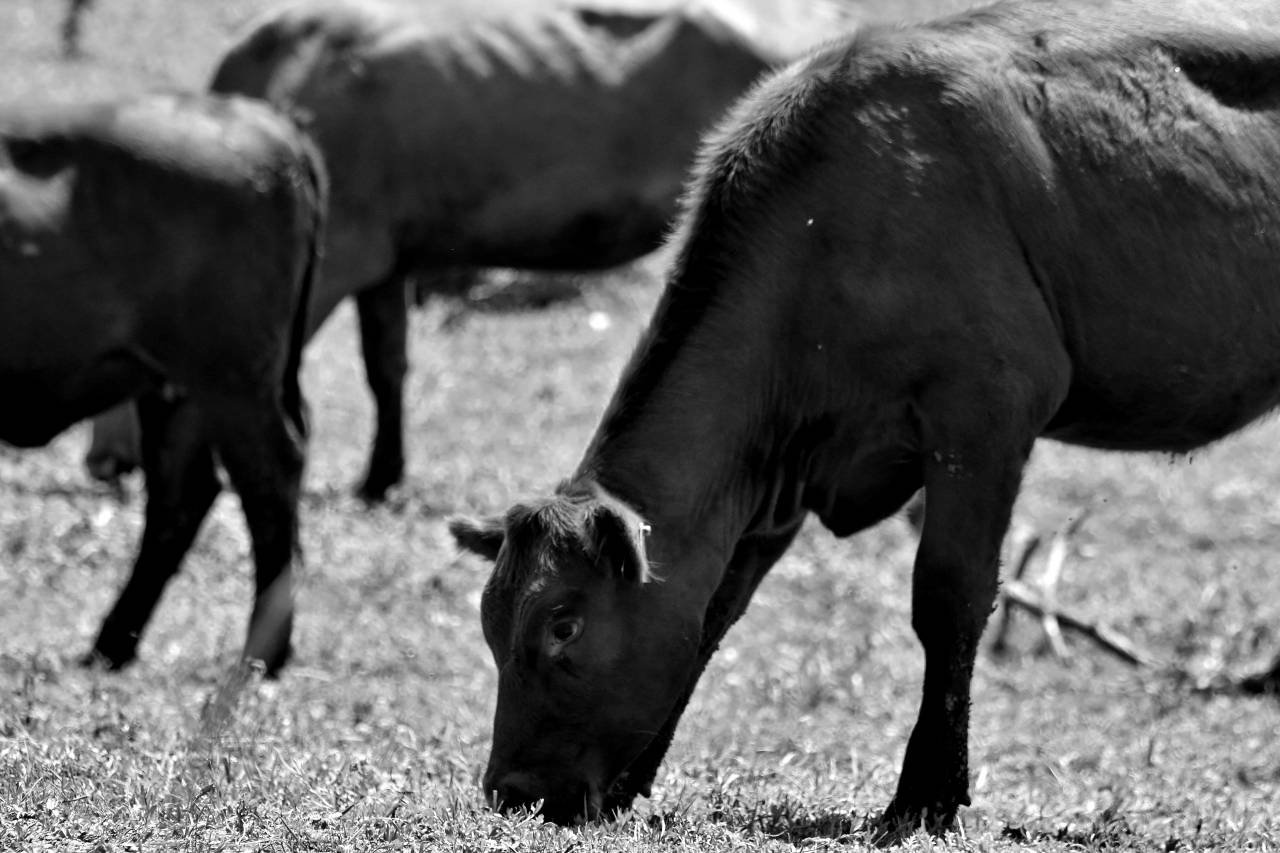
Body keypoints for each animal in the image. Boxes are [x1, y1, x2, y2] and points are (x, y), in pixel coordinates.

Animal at [1, 92, 325, 675]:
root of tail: (265, 123)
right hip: (178, 391)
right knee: (183, 497)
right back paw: (111, 645)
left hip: (230, 384)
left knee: (267, 481)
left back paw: (261, 655)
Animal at [450, 0, 1280, 835]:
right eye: (490, 624)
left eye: (563, 624)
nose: (510, 789)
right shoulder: (779, 477)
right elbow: (715, 610)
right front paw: (633, 779)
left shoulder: (986, 413)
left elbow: (949, 598)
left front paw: (927, 794)